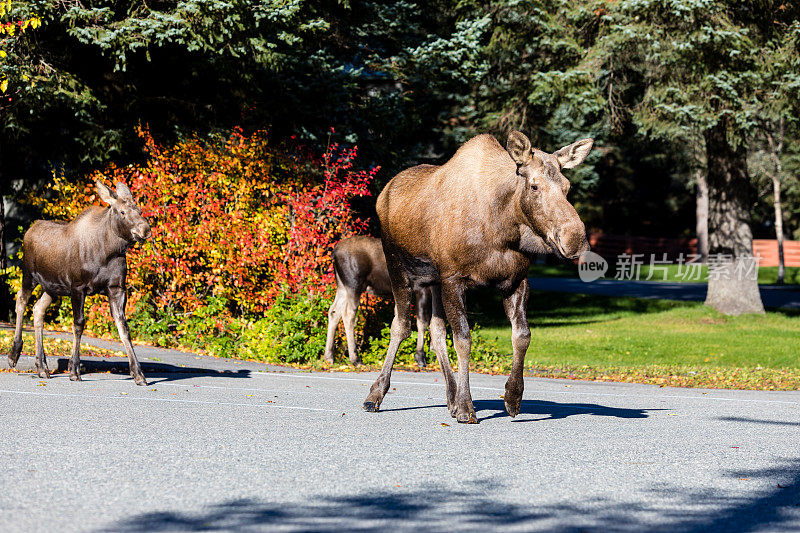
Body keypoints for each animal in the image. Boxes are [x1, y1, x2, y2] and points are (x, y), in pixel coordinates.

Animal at [10, 181, 153, 384]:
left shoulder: (117, 288)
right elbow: (78, 324)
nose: (145, 230)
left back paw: (42, 367)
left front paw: (138, 374)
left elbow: (123, 327)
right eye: (122, 212)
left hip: (53, 287)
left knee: (38, 309)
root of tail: (30, 229)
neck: (109, 252)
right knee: (21, 301)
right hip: (29, 275)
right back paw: (14, 354)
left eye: (140, 210)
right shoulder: (78, 287)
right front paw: (74, 370)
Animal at [324, 236, 432, 366]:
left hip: (342, 285)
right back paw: (355, 359)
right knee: (348, 313)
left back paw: (329, 357)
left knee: (334, 311)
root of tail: (334, 253)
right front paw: (420, 357)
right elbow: (423, 322)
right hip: (354, 283)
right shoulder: (423, 288)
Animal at [362, 131, 592, 422]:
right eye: (534, 186)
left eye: (567, 186)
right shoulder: (454, 279)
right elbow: (463, 340)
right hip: (399, 268)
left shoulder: (516, 281)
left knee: (436, 330)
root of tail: (384, 192)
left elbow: (522, 336)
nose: (575, 240)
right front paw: (466, 406)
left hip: (434, 281)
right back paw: (375, 394)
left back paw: (449, 396)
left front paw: (512, 397)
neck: (503, 228)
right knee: (400, 326)